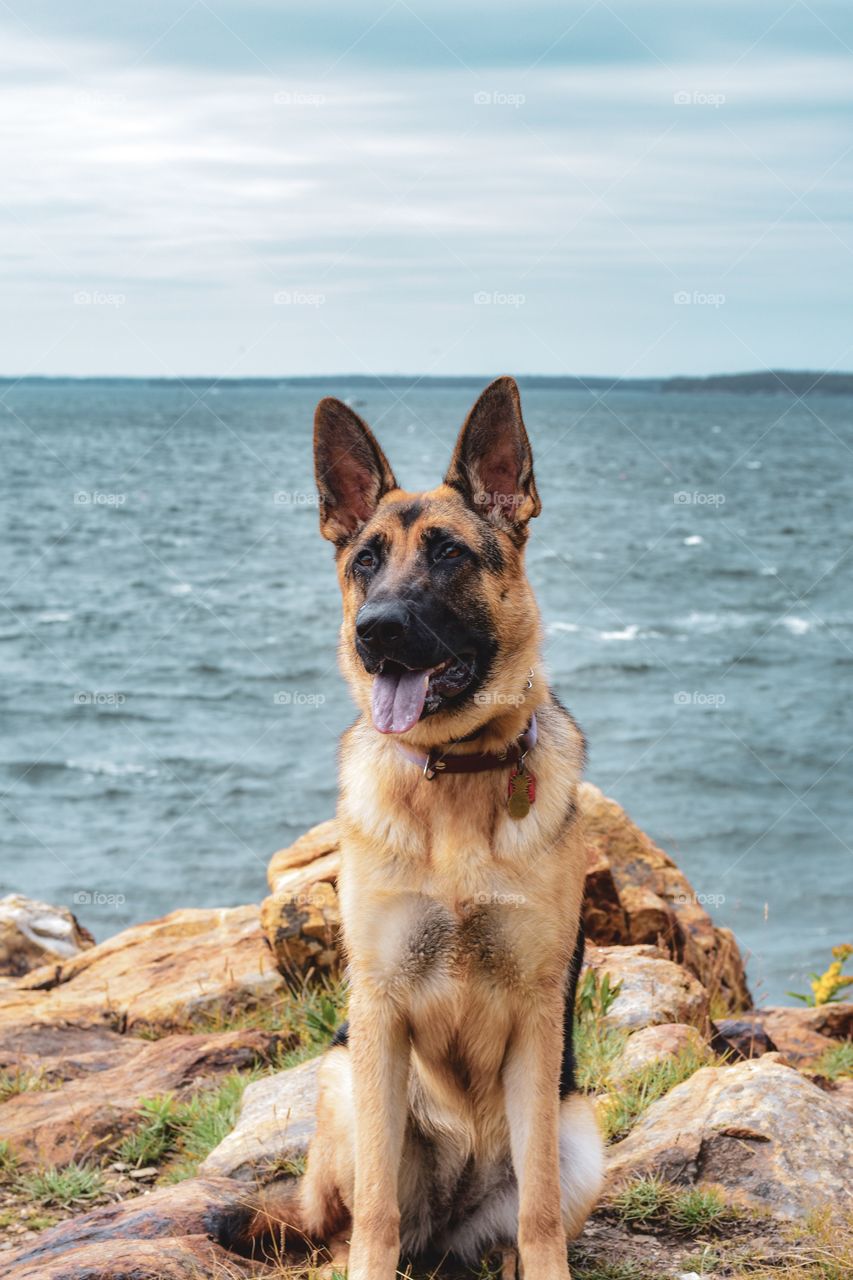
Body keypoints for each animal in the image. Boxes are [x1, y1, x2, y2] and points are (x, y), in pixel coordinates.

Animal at [249, 373, 601, 1274]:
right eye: (364, 561)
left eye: (449, 554)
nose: (375, 631)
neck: (455, 778)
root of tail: (445, 1231)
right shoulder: (377, 1014)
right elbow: (376, 1210)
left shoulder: (537, 1017)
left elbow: (538, 1208)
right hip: (339, 1080)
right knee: (353, 1220)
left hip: (581, 1127)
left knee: (521, 1212)